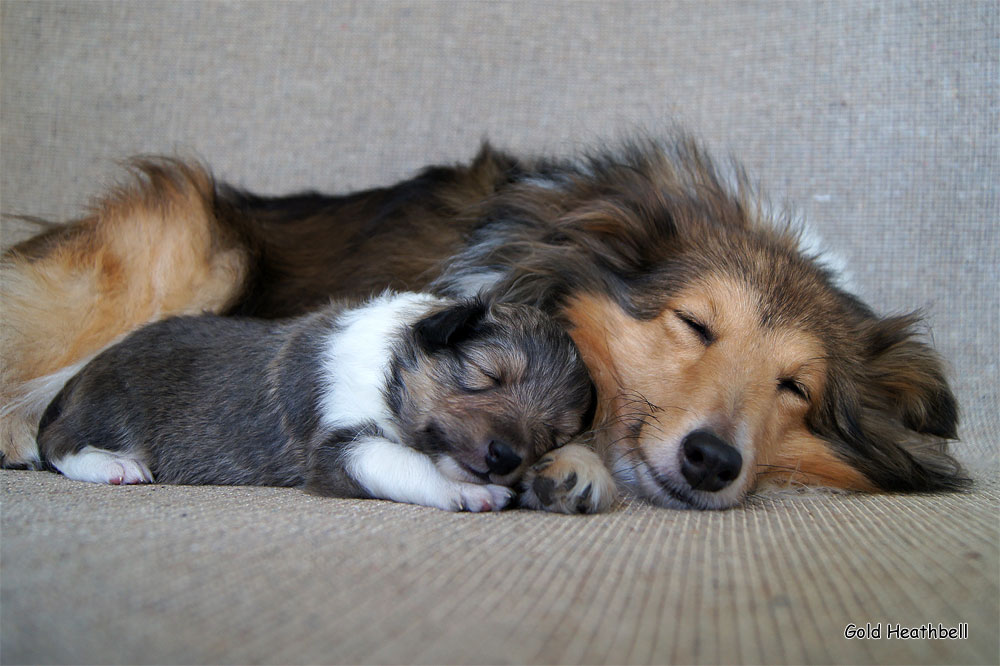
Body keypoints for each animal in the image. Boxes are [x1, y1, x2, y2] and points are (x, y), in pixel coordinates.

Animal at [37, 290, 600, 508]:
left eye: (553, 434)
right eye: (487, 376)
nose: (505, 457)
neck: (387, 371)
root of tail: (82, 374)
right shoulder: (335, 446)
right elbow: (402, 459)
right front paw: (467, 490)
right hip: (114, 407)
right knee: (56, 443)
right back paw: (114, 466)